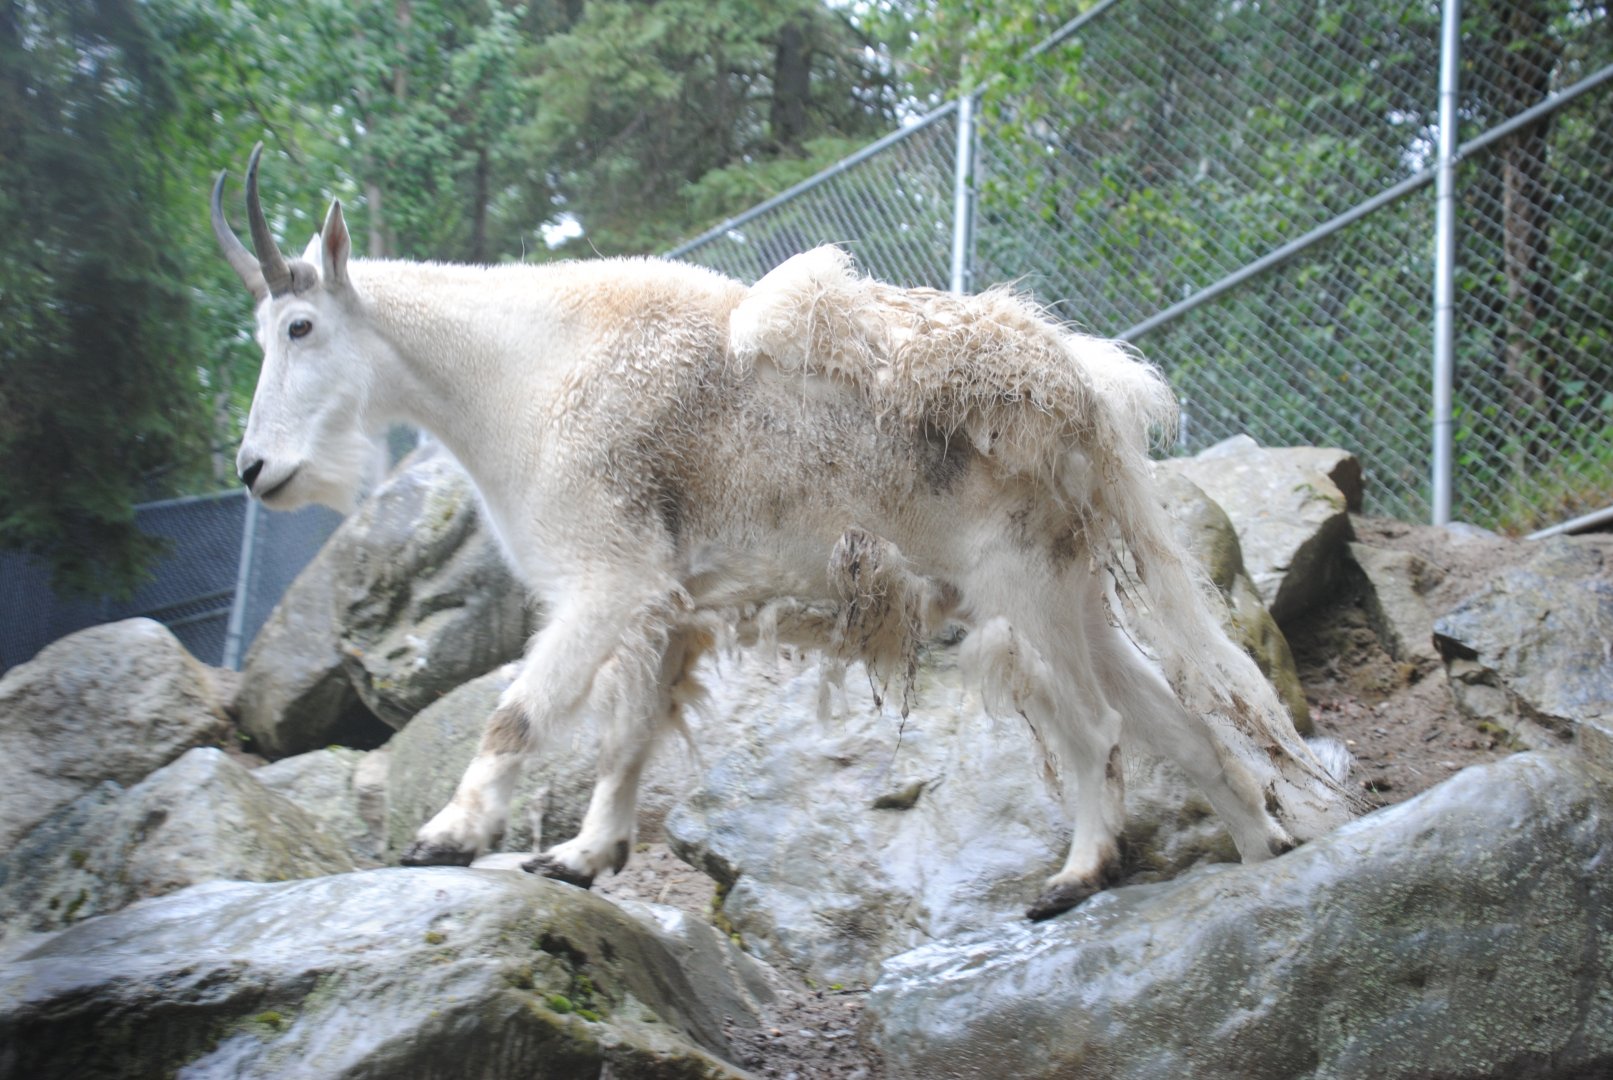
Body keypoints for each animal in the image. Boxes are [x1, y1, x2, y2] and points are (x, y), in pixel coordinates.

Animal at [213, 144, 1354, 920]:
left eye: (300, 326)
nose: (256, 471)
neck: (519, 373)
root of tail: (1089, 393)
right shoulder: (666, 601)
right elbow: (627, 737)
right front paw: (582, 857)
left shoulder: (608, 578)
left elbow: (516, 714)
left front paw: (452, 832)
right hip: (1070, 589)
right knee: (1174, 719)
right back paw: (1259, 849)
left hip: (1018, 580)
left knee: (1096, 728)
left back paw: (1079, 871)